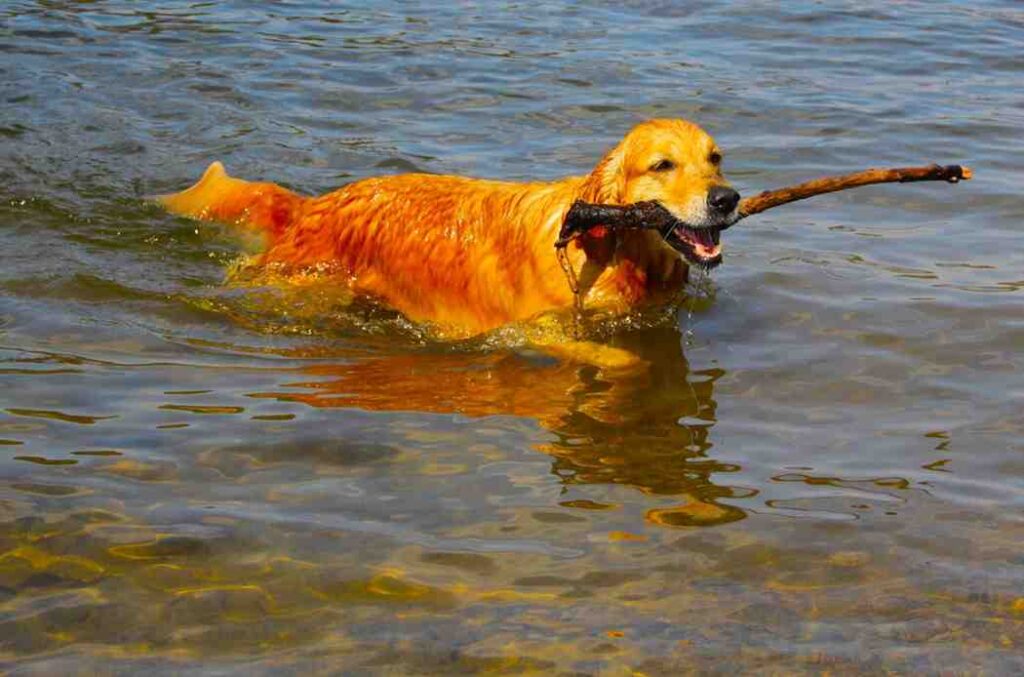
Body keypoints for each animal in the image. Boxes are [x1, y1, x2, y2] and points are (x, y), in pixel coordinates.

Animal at [157, 118, 737, 366]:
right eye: (663, 165)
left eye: (715, 158)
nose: (727, 198)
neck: (609, 246)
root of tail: (316, 204)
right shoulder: (527, 329)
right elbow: (623, 360)